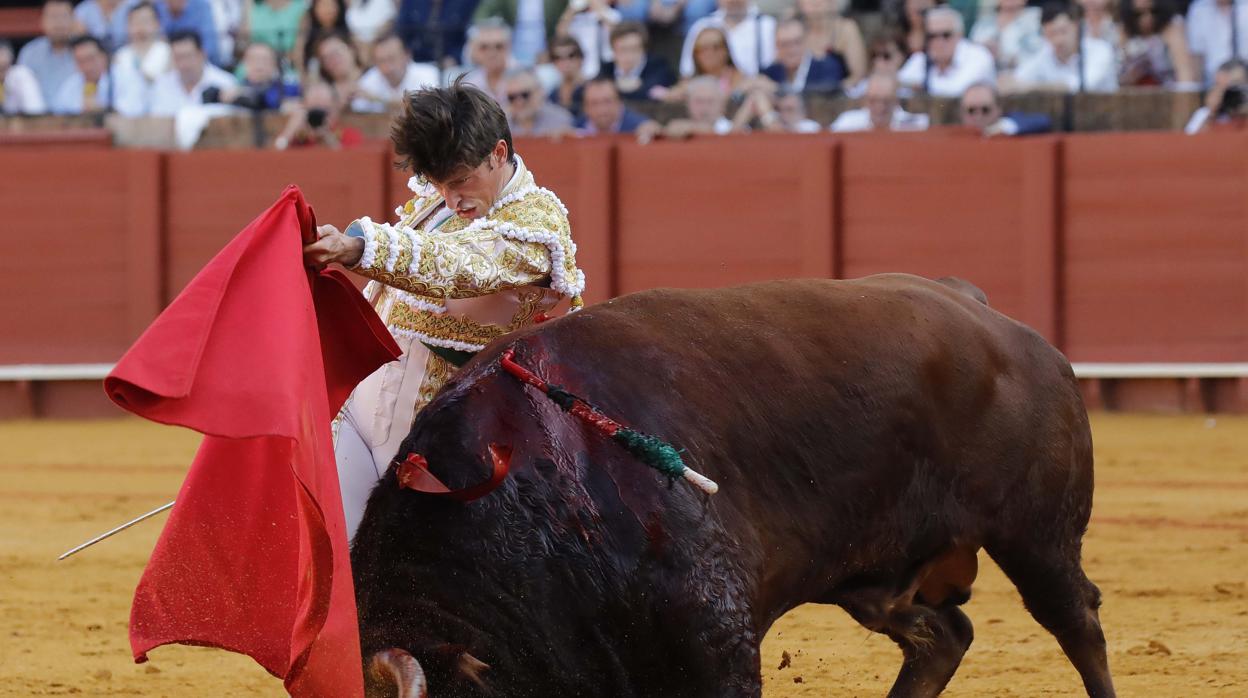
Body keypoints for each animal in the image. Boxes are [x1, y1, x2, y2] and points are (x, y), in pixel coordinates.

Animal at [346, 274, 1118, 698]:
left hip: (1036, 535)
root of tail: (991, 318)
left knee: (1075, 620)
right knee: (942, 635)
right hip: (870, 572)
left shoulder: (713, 632)